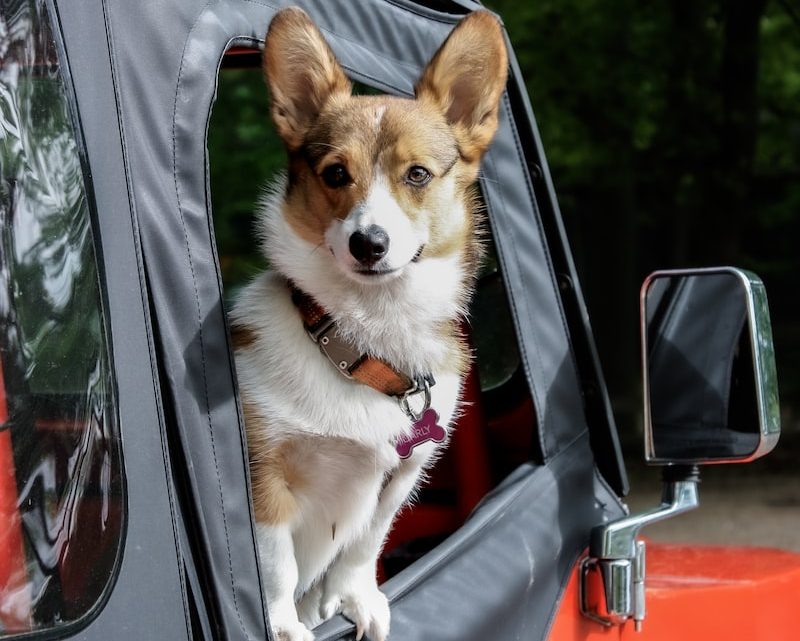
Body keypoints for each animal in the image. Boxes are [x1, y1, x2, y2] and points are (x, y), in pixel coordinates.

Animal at [228, 8, 510, 640]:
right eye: (336, 174)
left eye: (418, 175)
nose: (369, 243)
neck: (366, 335)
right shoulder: (265, 477)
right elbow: (276, 563)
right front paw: (283, 624)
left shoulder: (401, 475)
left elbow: (363, 545)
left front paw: (353, 600)